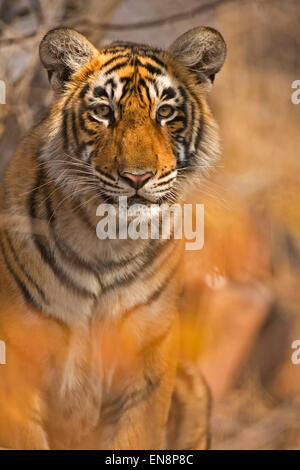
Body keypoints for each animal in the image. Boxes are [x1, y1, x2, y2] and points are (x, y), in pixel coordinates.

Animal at [0, 26, 225, 452]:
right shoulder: (19, 359)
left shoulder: (148, 357)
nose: (137, 177)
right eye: (103, 111)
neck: (107, 239)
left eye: (165, 112)